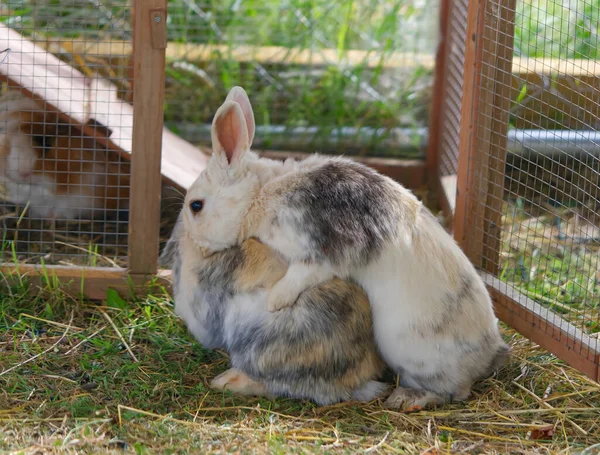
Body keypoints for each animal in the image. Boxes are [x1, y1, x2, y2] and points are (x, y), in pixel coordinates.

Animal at [177, 87, 506, 412]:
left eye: (196, 206)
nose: (192, 243)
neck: (261, 194)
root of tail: (489, 355)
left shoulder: (324, 246)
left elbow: (303, 272)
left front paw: (276, 300)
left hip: (417, 357)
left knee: (454, 391)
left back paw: (409, 398)